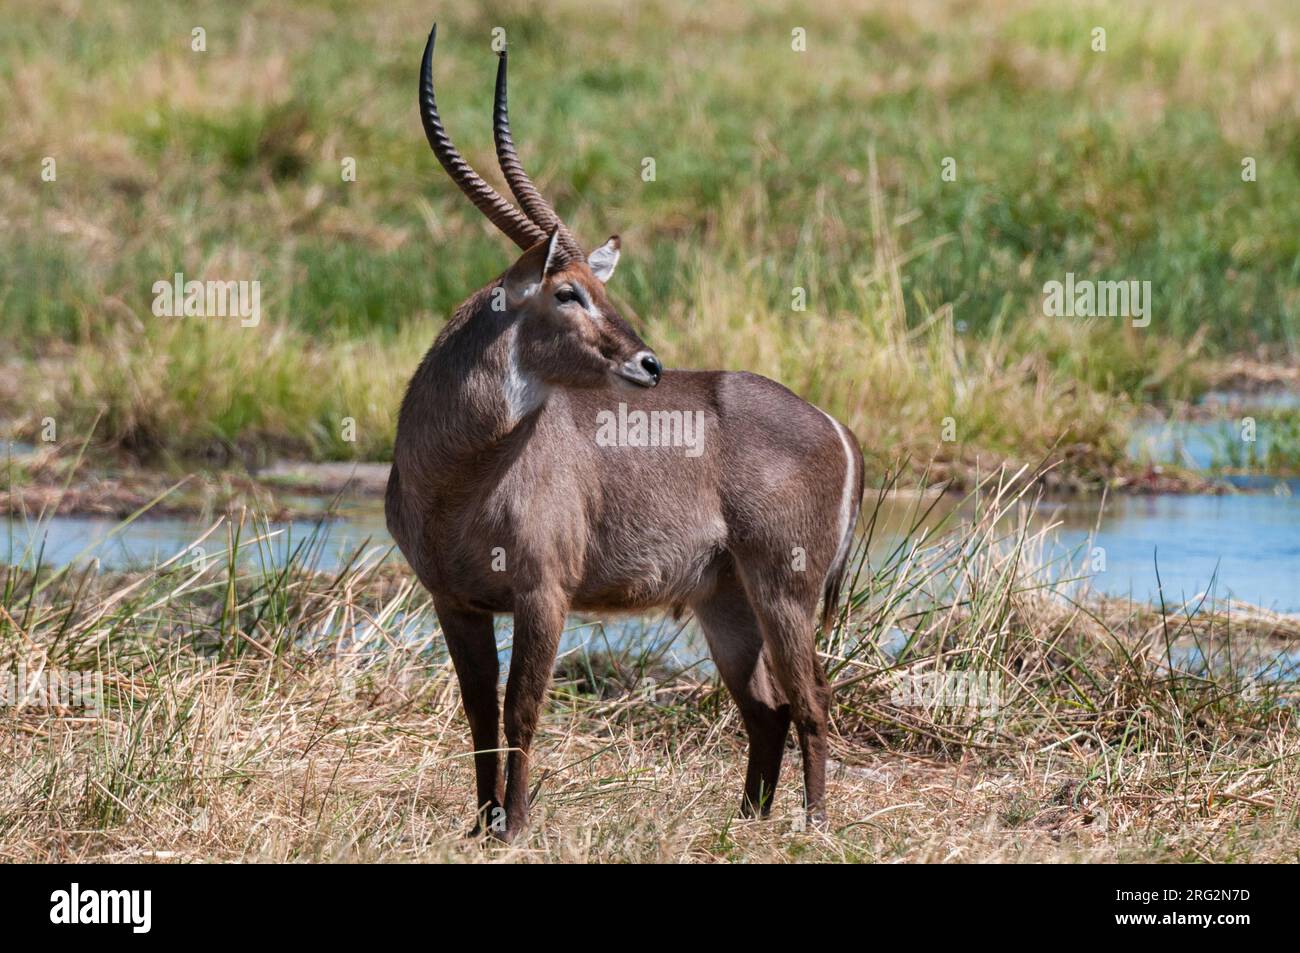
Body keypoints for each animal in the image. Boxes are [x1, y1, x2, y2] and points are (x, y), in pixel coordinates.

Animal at [390, 24, 868, 842]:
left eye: (599, 285)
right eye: (567, 290)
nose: (648, 362)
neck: (457, 475)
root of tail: (834, 424)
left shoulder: (544, 592)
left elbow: (521, 710)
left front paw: (514, 828)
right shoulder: (455, 601)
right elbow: (478, 714)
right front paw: (479, 826)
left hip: (784, 589)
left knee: (812, 701)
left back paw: (813, 826)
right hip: (726, 600)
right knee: (766, 709)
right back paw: (746, 821)